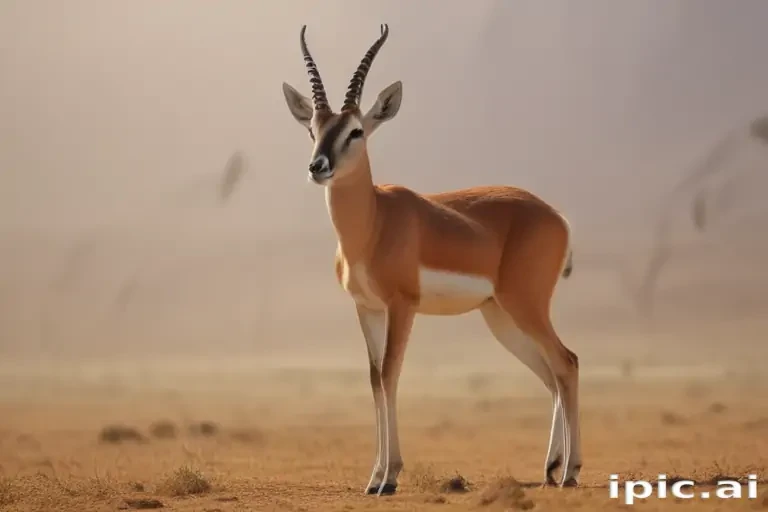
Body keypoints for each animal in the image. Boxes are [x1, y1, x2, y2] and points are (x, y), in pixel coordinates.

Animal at [281, 24, 582, 495]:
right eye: (313, 128)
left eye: (356, 131)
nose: (318, 166)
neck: (374, 222)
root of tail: (557, 216)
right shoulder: (366, 308)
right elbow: (373, 379)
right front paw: (374, 477)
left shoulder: (402, 305)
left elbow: (390, 375)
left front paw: (388, 478)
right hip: (500, 316)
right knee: (551, 373)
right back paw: (551, 468)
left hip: (526, 306)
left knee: (567, 363)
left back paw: (569, 472)